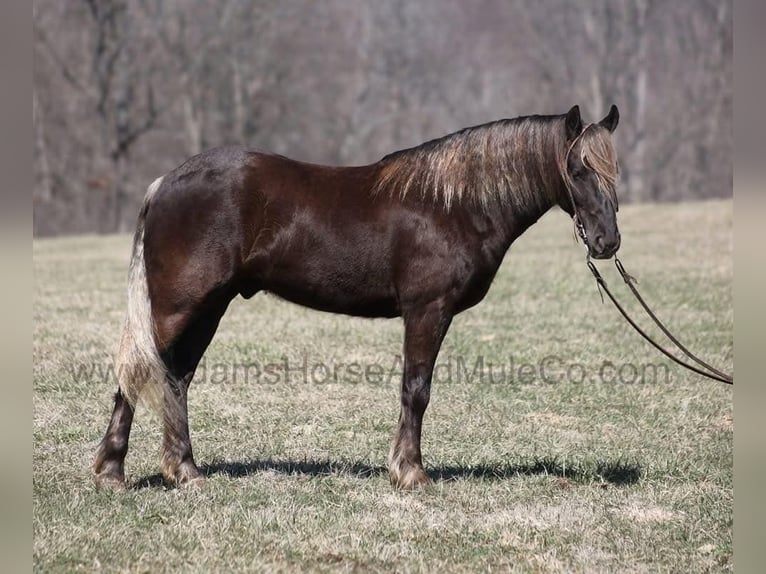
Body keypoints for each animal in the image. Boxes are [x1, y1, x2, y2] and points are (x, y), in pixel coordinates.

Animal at [93, 104, 621, 490]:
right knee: (138, 371)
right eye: (577, 170)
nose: (607, 242)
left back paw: (182, 470)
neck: (454, 204)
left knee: (175, 378)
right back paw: (115, 472)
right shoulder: (427, 311)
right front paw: (411, 472)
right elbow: (416, 389)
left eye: (614, 171)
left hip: (207, 307)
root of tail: (165, 183)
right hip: (178, 306)